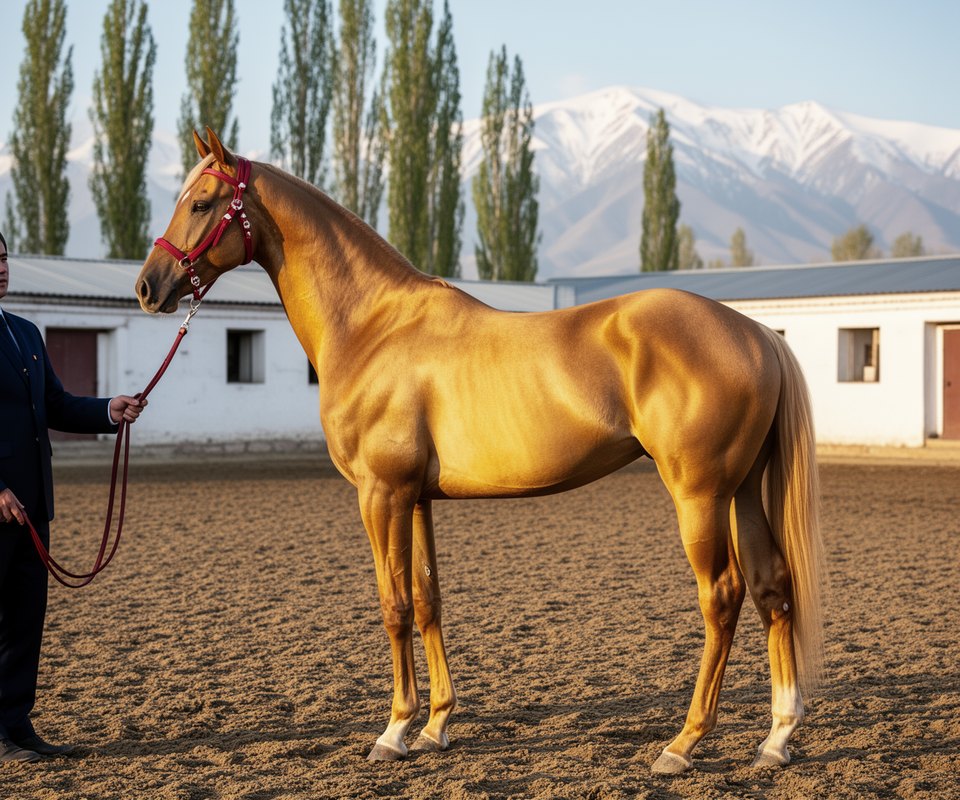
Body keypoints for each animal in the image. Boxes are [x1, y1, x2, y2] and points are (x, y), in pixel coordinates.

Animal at [136, 128, 824, 773]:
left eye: (201, 203)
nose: (148, 287)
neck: (373, 326)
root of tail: (756, 332)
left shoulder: (380, 494)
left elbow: (393, 606)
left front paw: (393, 731)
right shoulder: (416, 499)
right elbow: (428, 601)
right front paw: (435, 726)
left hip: (699, 495)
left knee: (723, 598)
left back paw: (684, 743)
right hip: (741, 491)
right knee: (771, 587)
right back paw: (776, 738)